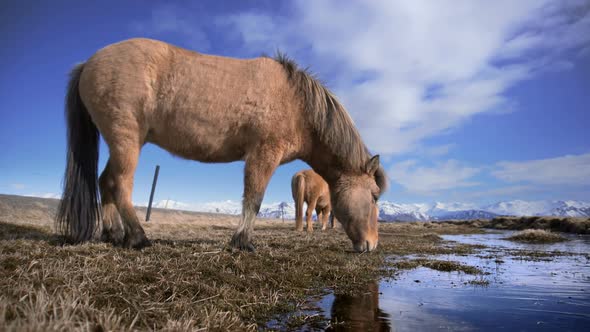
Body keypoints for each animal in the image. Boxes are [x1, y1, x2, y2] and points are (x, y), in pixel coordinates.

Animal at [55, 38, 388, 252]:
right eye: (374, 197)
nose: (372, 245)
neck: (297, 103)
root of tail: (88, 63)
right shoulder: (263, 154)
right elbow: (253, 199)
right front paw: (242, 242)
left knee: (104, 181)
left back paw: (112, 234)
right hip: (127, 140)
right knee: (119, 183)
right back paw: (137, 237)